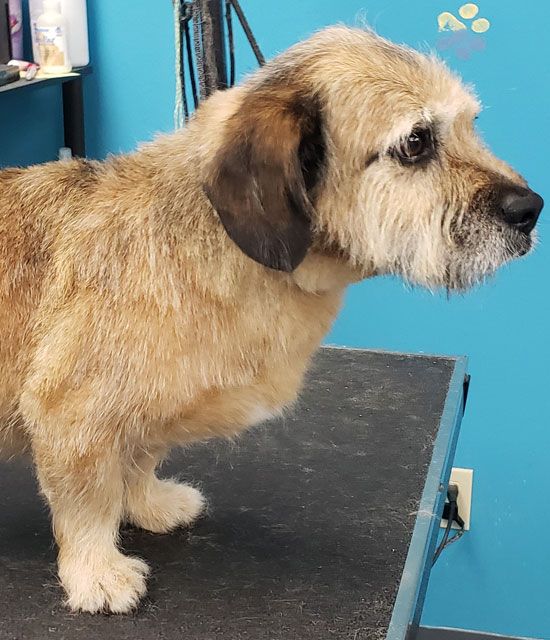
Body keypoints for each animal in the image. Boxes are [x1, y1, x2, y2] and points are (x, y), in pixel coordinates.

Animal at [0, 26, 544, 616]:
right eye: (416, 141)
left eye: (472, 122)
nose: (531, 209)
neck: (221, 240)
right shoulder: (72, 416)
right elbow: (89, 505)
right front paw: (96, 572)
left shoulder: (148, 412)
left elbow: (139, 461)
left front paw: (148, 505)